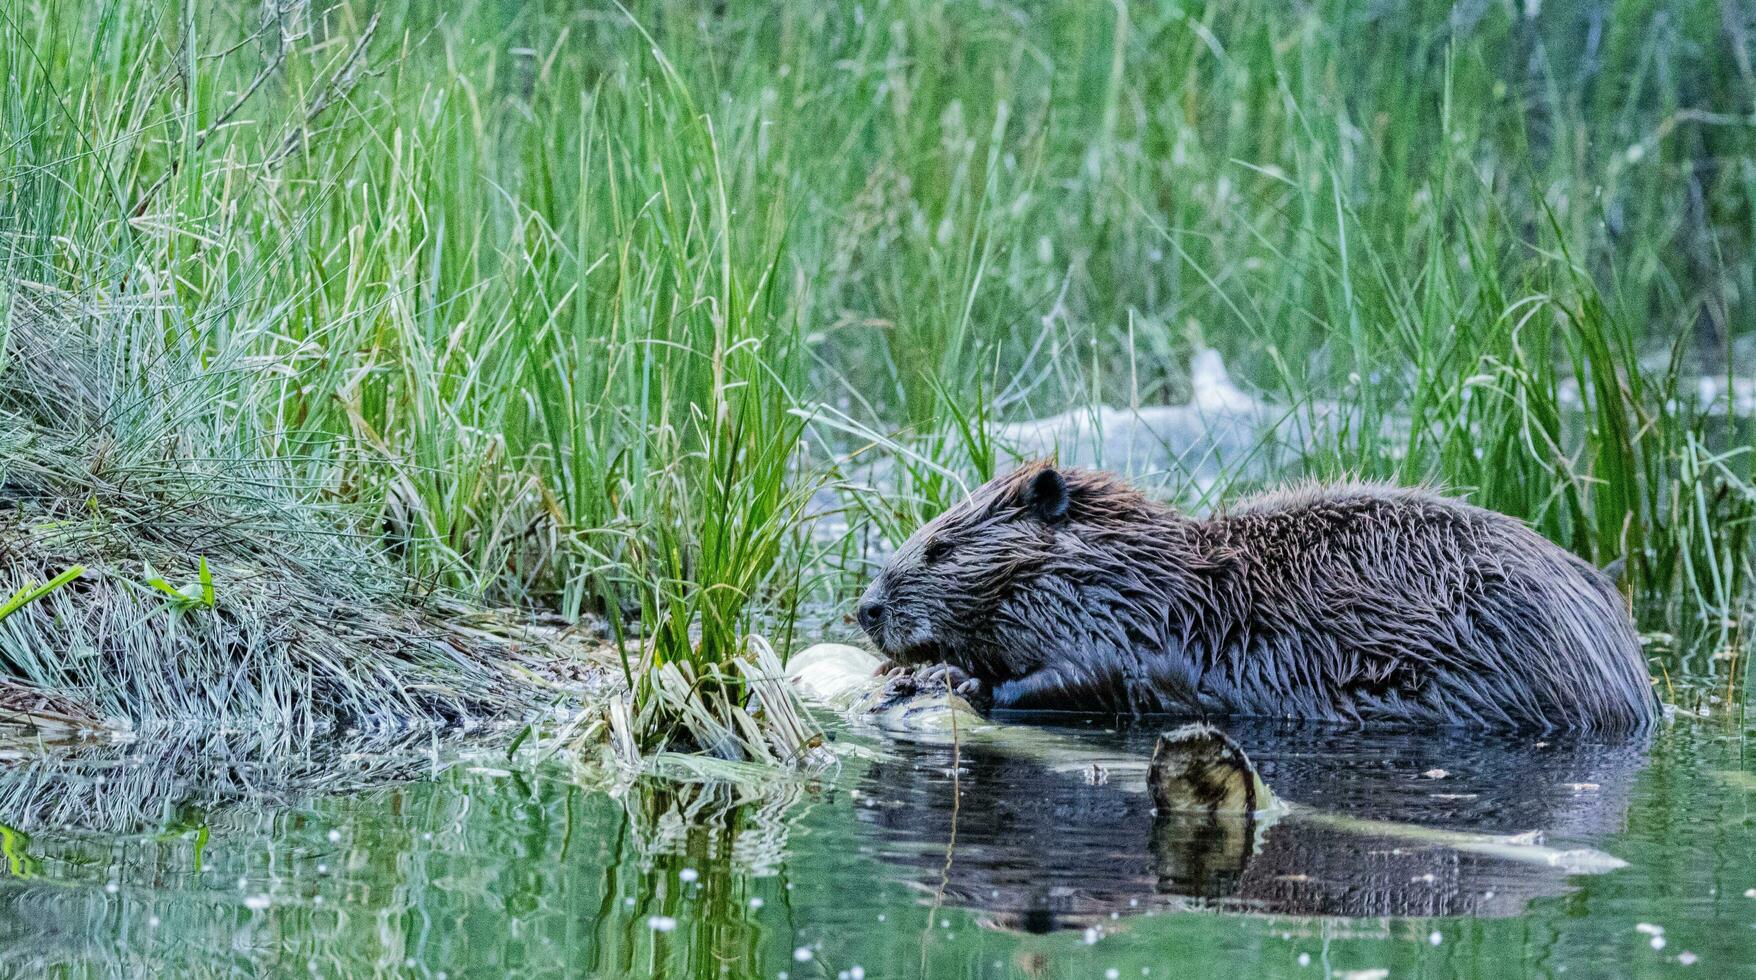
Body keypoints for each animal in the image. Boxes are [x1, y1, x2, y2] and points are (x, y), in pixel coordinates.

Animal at [860, 463, 1657, 734]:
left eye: (938, 548)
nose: (866, 609)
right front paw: (906, 674)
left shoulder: (1137, 637)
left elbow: (1086, 681)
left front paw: (956, 679)